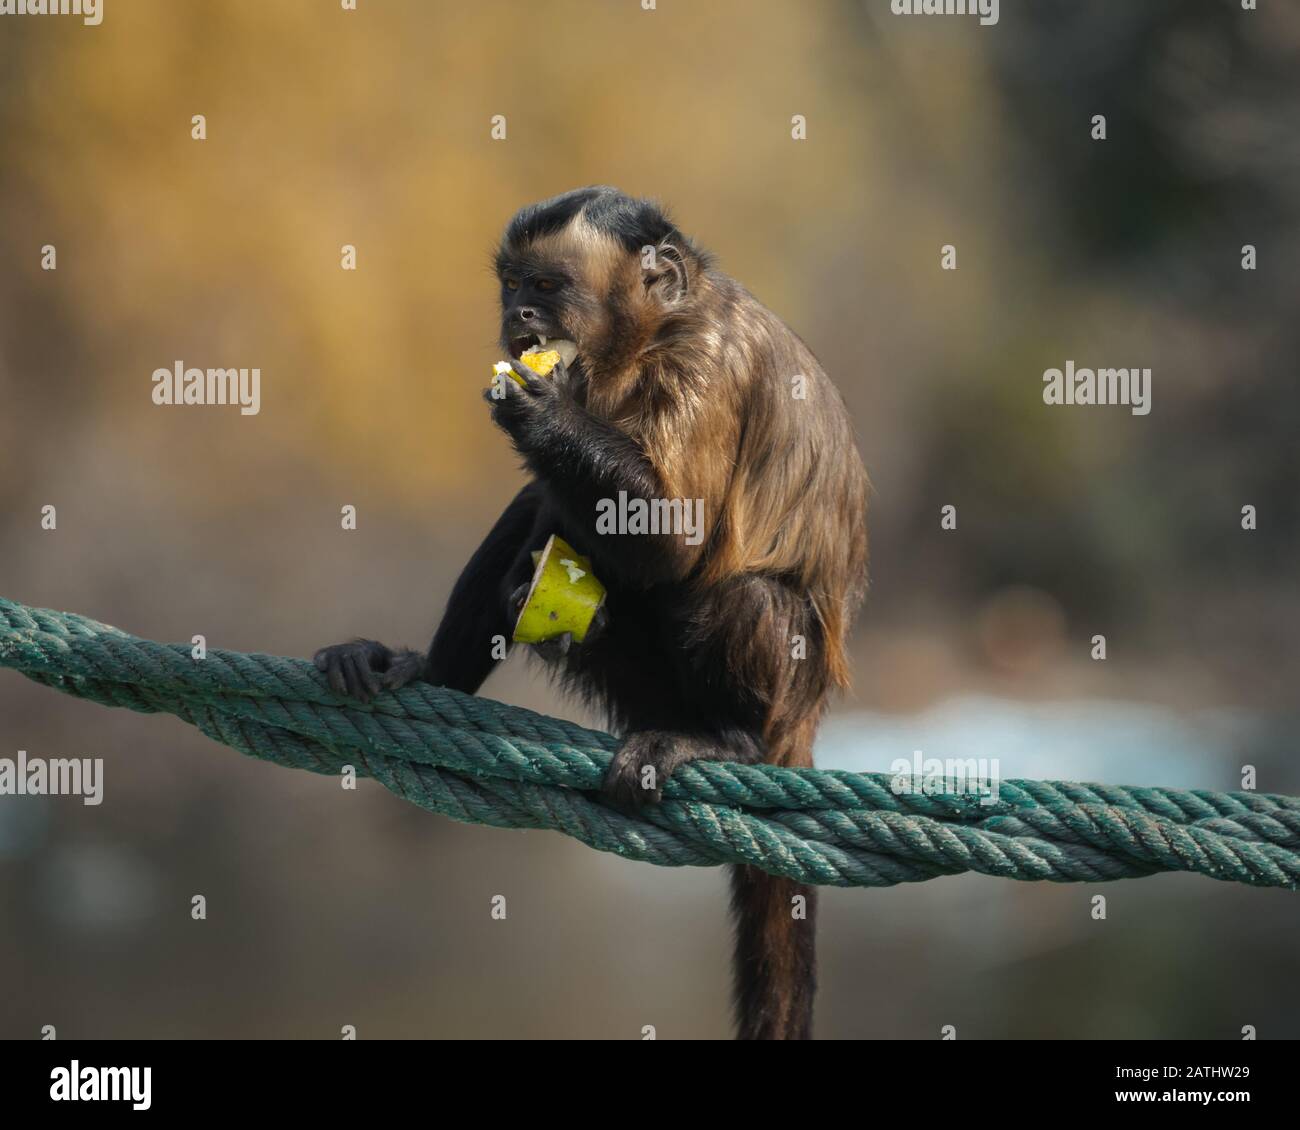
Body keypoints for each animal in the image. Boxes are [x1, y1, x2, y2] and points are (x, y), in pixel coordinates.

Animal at [309, 184, 868, 1040]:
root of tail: (801, 725)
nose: (518, 318)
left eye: (545, 287)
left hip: (779, 693)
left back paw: (725, 737)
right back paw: (425, 675)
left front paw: (541, 412)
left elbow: (675, 542)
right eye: (511, 286)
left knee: (736, 591)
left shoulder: (701, 362)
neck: (648, 338)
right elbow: (549, 519)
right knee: (542, 515)